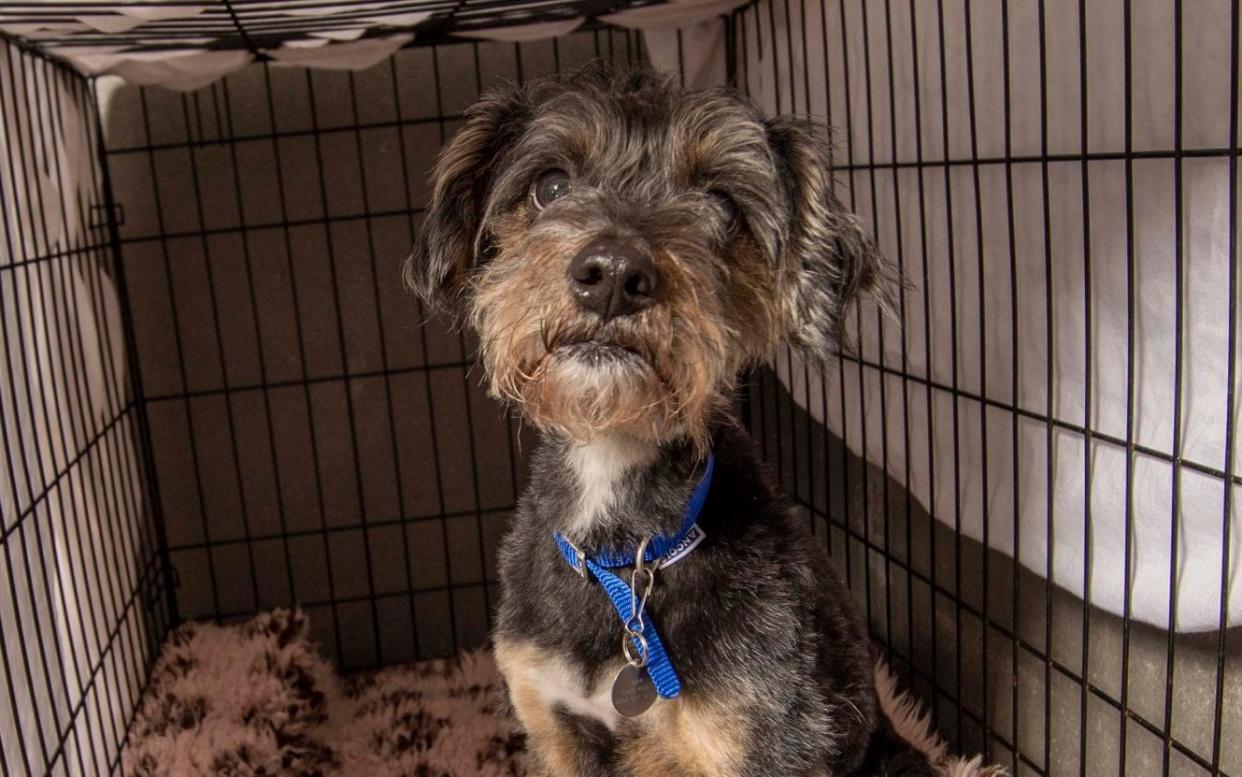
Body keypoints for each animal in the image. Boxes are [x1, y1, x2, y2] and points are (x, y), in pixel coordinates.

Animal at [407, 65, 998, 774]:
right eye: (550, 185)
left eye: (721, 205)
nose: (613, 273)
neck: (625, 555)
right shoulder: (552, 722)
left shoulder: (762, 737)